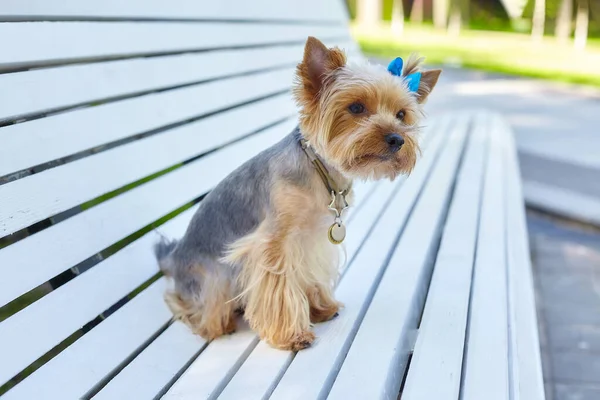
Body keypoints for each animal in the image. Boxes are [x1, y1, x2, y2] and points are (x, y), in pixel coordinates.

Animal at [150, 37, 440, 350]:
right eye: (356, 107)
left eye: (401, 114)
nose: (397, 139)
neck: (322, 171)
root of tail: (173, 257)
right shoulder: (274, 243)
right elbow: (279, 288)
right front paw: (291, 334)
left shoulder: (312, 238)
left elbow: (308, 274)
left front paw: (320, 306)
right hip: (213, 276)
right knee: (189, 304)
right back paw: (216, 322)